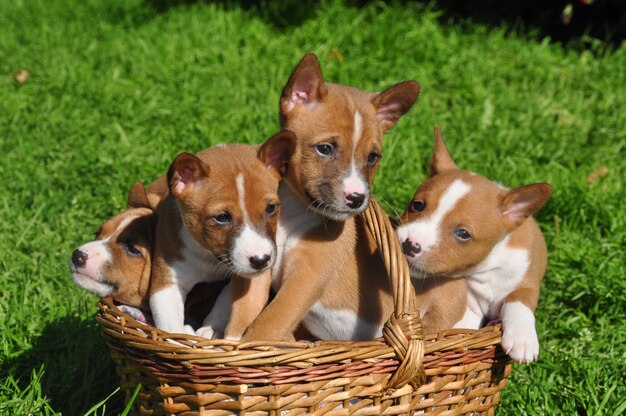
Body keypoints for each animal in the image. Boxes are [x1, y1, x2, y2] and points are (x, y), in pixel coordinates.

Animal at [150, 140, 286, 338]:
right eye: (222, 217)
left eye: (270, 208)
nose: (261, 260)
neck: (208, 255)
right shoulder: (166, 284)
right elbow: (170, 327)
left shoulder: (237, 277)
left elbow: (224, 304)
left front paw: (209, 330)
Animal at [241, 52, 416, 342]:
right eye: (325, 148)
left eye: (373, 157)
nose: (356, 198)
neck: (292, 215)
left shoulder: (306, 278)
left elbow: (267, 325)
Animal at [398, 127, 548, 364]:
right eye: (417, 205)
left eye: (463, 234)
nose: (409, 245)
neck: (486, 270)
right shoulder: (465, 303)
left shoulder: (528, 282)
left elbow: (517, 301)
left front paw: (522, 339)